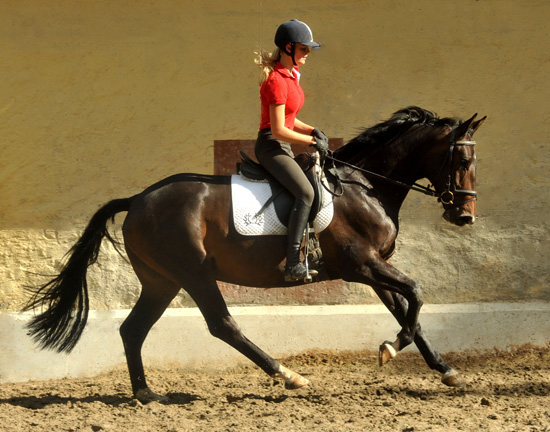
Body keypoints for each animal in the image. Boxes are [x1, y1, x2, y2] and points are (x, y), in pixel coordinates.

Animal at [24, 107, 488, 402]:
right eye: (462, 159)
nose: (465, 216)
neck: (363, 186)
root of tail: (137, 199)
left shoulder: (375, 267)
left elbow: (409, 309)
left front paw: (443, 369)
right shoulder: (363, 264)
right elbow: (417, 293)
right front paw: (392, 348)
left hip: (162, 280)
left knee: (133, 329)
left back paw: (145, 393)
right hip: (193, 274)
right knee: (222, 325)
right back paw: (288, 375)